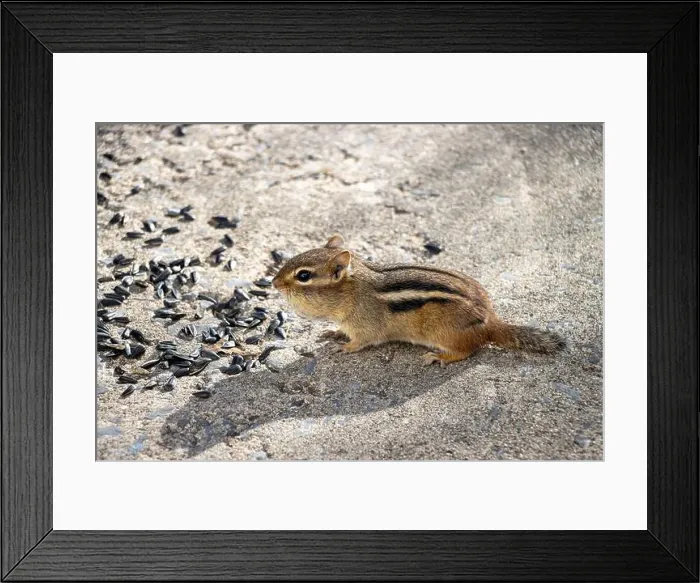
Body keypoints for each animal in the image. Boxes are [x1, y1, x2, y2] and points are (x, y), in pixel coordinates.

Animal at [271, 235, 566, 366]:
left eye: (304, 276)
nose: (274, 283)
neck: (353, 290)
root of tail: (492, 322)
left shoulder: (365, 327)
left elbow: (361, 342)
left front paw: (344, 347)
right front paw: (333, 333)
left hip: (444, 333)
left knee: (468, 350)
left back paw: (439, 357)